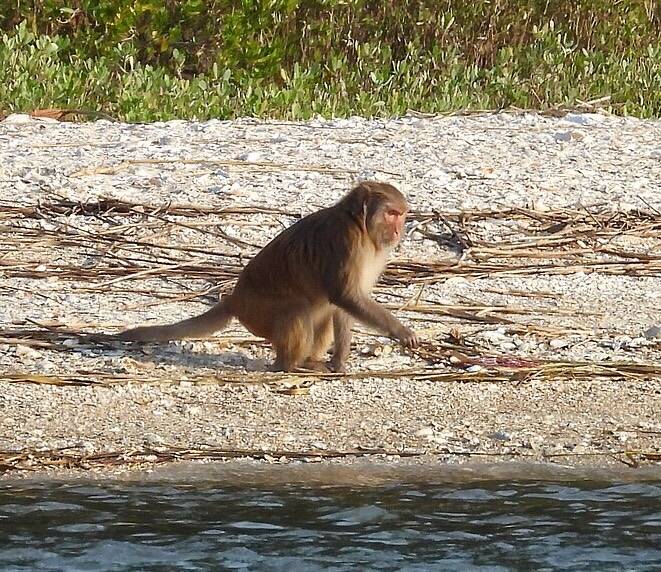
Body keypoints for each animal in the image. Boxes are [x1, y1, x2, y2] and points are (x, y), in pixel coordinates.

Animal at [118, 181, 419, 372]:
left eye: (401, 215)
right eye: (391, 214)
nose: (398, 231)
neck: (360, 227)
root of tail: (235, 299)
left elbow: (343, 304)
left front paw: (339, 361)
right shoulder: (346, 242)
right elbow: (344, 295)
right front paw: (400, 331)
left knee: (320, 313)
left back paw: (307, 361)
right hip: (258, 313)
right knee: (297, 310)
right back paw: (290, 366)